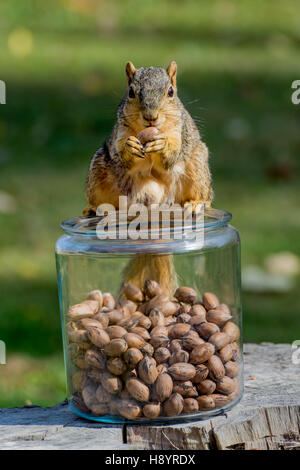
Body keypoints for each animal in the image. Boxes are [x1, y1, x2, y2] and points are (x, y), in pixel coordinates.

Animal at [83, 60, 212, 294]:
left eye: (170, 92)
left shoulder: (179, 132)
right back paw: (95, 208)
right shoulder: (120, 132)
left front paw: (163, 146)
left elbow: (172, 155)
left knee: (205, 194)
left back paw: (196, 203)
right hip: (99, 168)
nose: (150, 117)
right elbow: (122, 151)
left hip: (197, 164)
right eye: (131, 92)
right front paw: (129, 148)